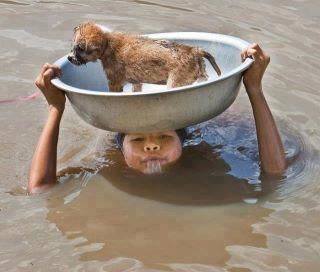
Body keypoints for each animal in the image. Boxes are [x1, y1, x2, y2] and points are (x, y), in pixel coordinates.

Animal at [68, 21, 221, 92]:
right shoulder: (137, 82)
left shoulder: (114, 82)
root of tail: (194, 50)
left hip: (175, 83)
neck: (107, 43)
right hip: (200, 74)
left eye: (79, 49)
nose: (69, 58)